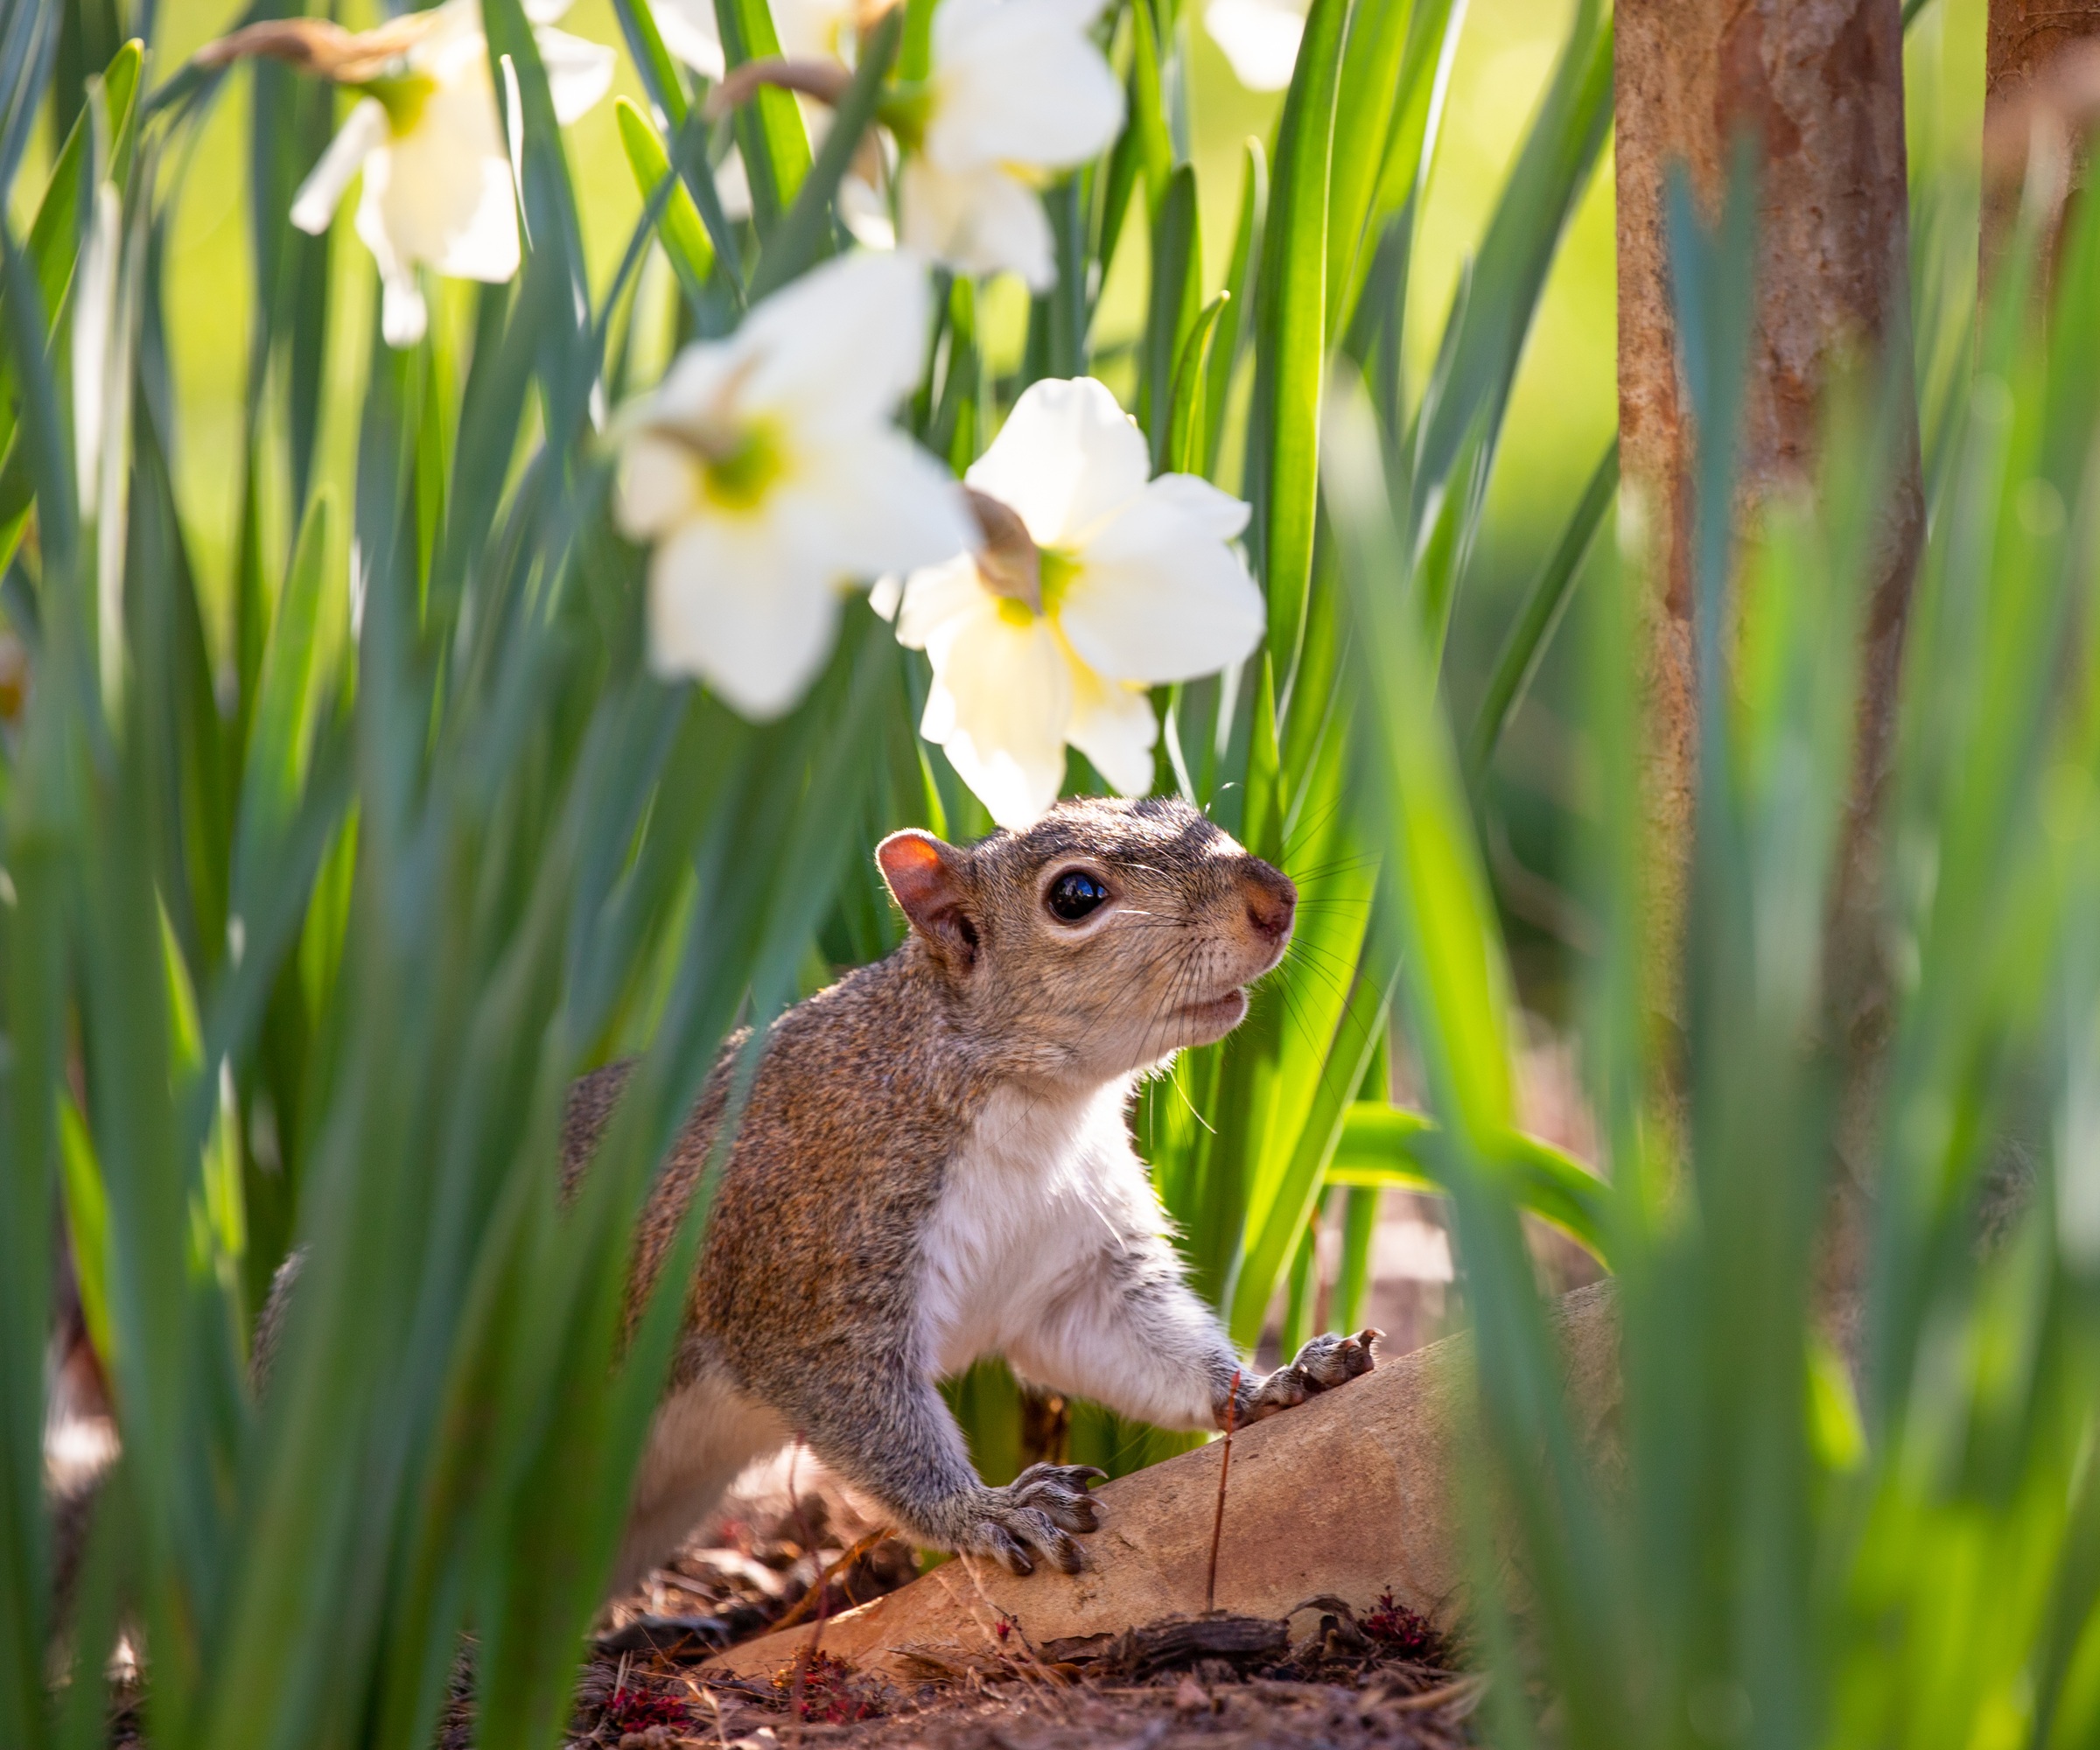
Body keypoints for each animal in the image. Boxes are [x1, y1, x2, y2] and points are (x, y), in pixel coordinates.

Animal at [254, 795, 1377, 1597]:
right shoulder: (811, 1268)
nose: (1275, 899)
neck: (1033, 1110)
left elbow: (1144, 1348)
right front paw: (987, 1511)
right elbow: (868, 1416)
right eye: (1075, 896)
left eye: (1189, 808)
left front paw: (1273, 1382)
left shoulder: (1074, 1274)